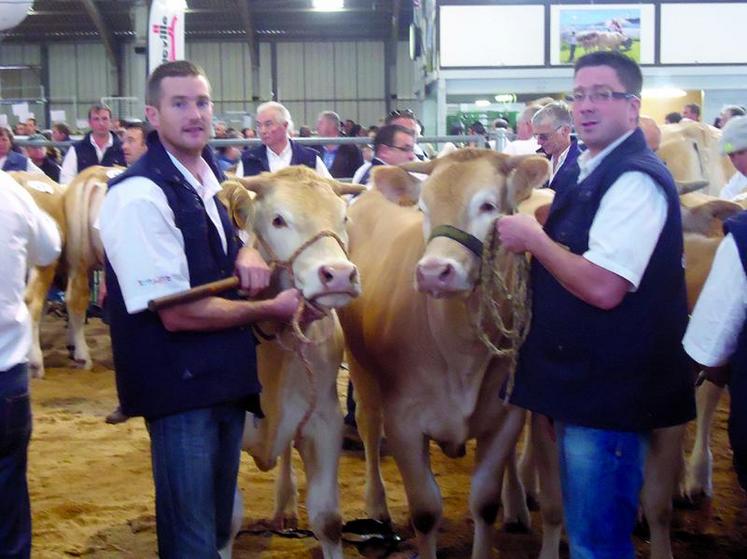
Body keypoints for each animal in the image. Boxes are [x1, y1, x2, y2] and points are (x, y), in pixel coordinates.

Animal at [215, 168, 364, 559]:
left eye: (344, 218)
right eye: (278, 220)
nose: (338, 274)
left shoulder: (325, 420)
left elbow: (328, 519)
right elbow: (225, 521)